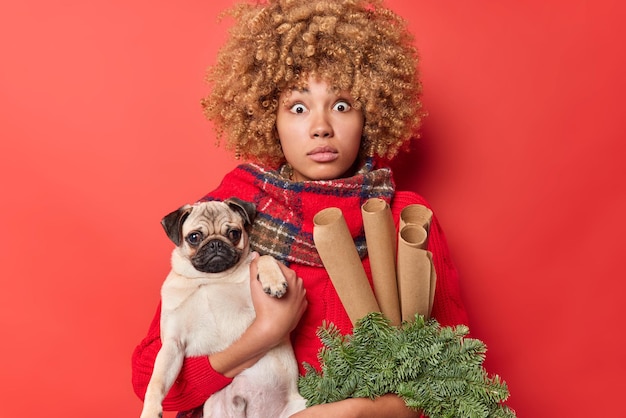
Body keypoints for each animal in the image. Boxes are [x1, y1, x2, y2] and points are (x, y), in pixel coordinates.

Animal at [141, 198, 308, 418]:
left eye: (234, 233)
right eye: (194, 237)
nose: (215, 243)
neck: (210, 278)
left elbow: (264, 258)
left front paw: (273, 281)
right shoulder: (172, 345)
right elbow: (155, 381)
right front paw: (150, 411)